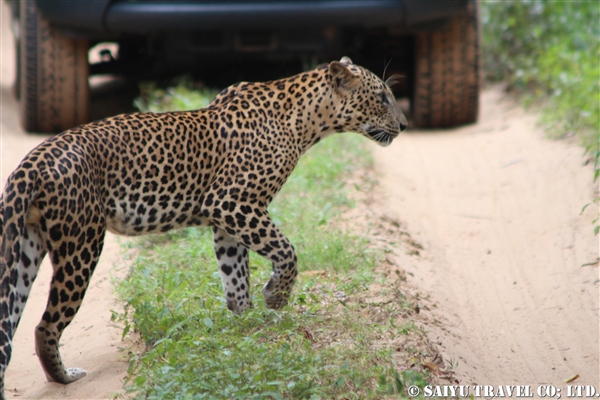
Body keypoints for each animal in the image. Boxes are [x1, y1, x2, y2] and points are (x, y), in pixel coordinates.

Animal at [0, 57, 408, 396]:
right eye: (383, 97)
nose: (404, 125)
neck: (306, 121)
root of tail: (32, 161)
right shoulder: (231, 202)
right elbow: (287, 252)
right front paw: (275, 298)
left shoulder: (226, 220)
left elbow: (235, 275)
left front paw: (246, 326)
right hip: (81, 245)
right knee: (45, 324)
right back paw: (64, 377)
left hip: (25, 250)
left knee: (13, 319)